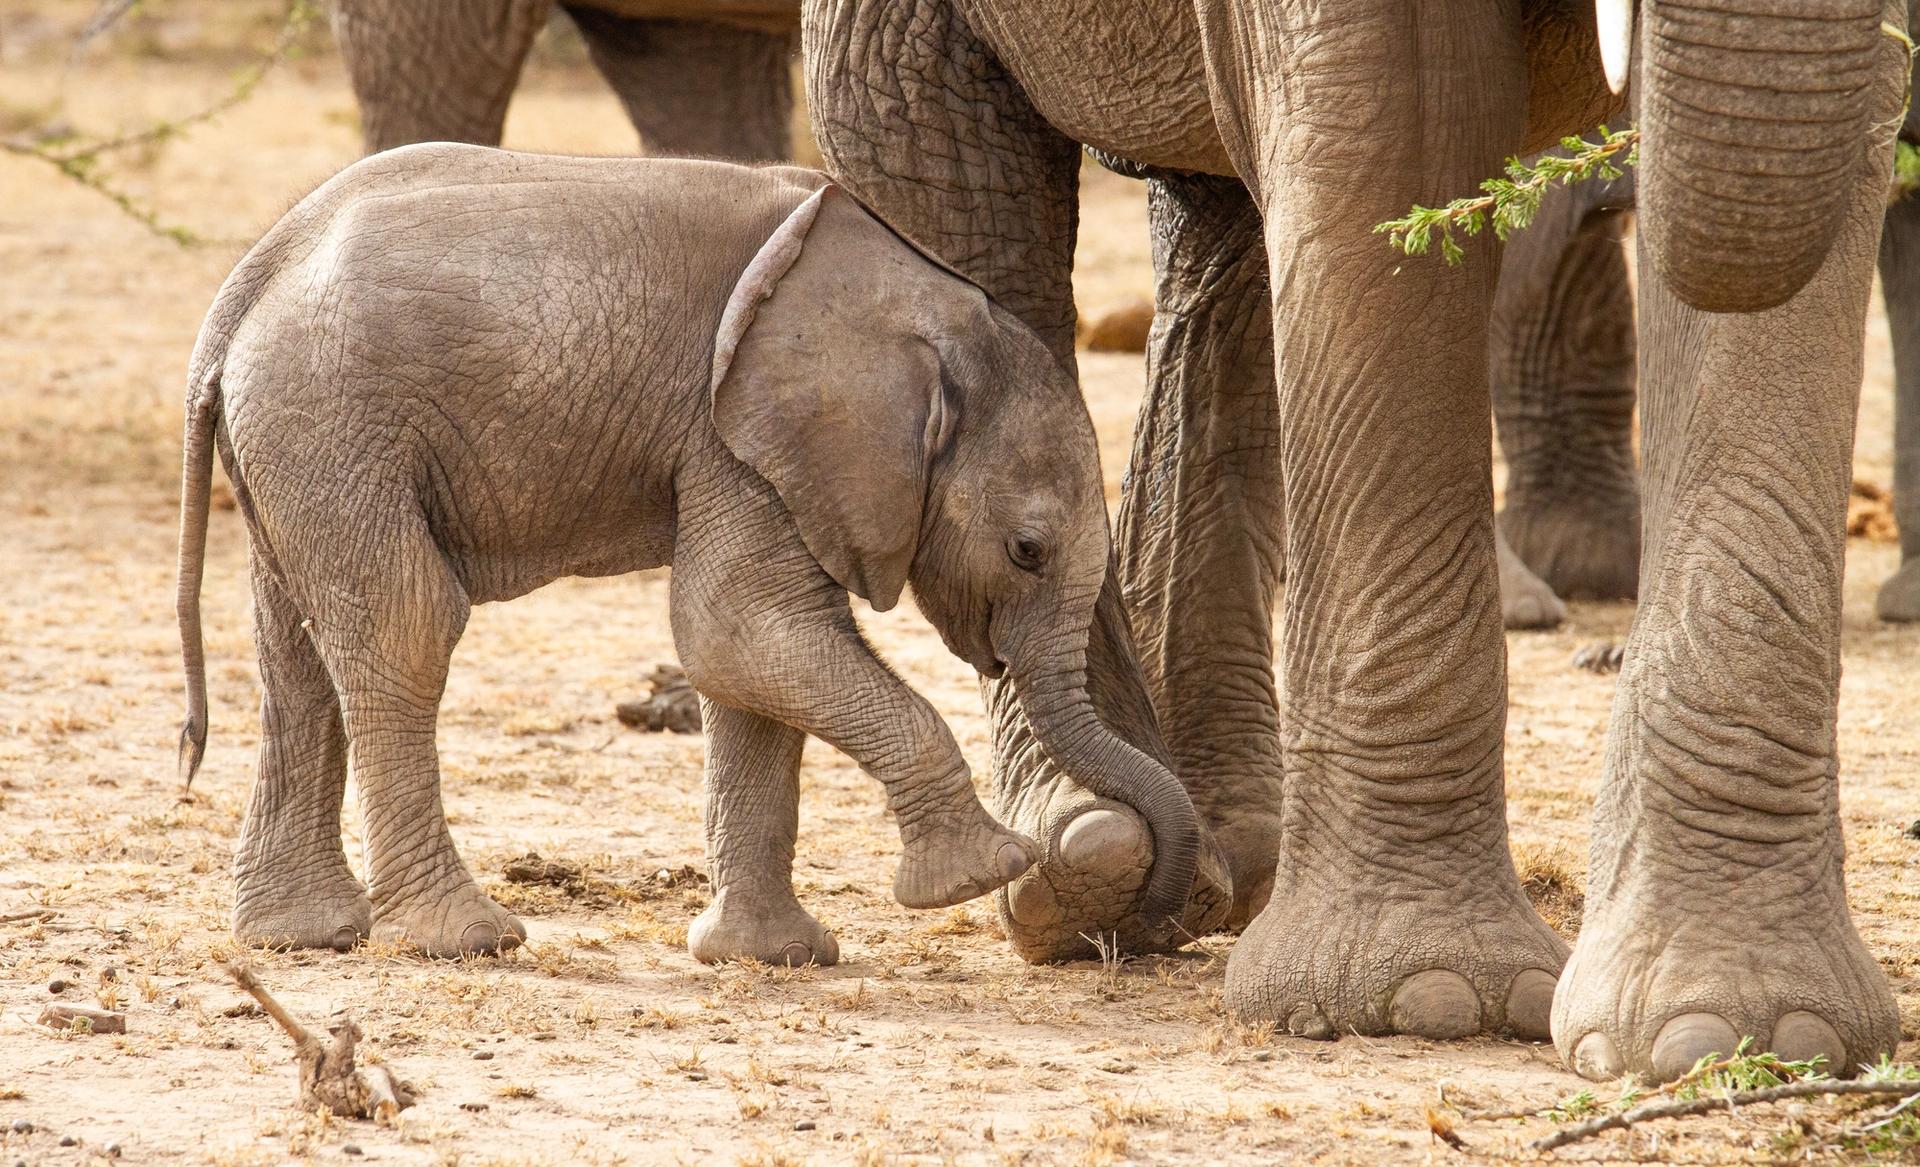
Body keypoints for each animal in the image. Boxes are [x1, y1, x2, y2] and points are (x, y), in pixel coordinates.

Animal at [172, 144, 1211, 965]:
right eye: (1028, 549)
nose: (1156, 918)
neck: (928, 305)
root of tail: (235, 301)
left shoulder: (759, 448)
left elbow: (752, 668)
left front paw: (771, 957)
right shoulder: (741, 435)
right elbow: (740, 631)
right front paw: (981, 873)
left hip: (298, 446)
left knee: (298, 658)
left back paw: (302, 937)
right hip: (336, 422)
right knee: (405, 630)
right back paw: (466, 940)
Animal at [803, 0, 1909, 1080]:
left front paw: (1744, 1034)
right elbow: (1400, 131)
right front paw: (1423, 1000)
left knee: (1223, 230)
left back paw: (1216, 861)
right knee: (954, 194)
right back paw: (1102, 862)